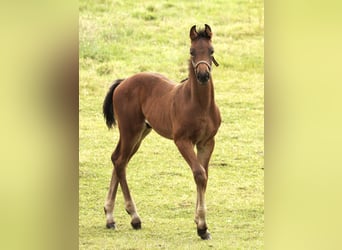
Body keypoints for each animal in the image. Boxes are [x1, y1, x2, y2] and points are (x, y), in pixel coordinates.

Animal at [103, 23, 220, 240]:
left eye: (211, 51)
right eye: (191, 51)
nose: (202, 76)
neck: (200, 105)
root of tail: (123, 82)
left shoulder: (207, 142)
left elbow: (204, 175)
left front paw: (199, 222)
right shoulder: (182, 141)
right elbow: (199, 173)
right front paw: (202, 227)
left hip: (141, 132)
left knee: (117, 158)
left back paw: (110, 218)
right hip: (130, 130)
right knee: (121, 162)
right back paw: (134, 217)